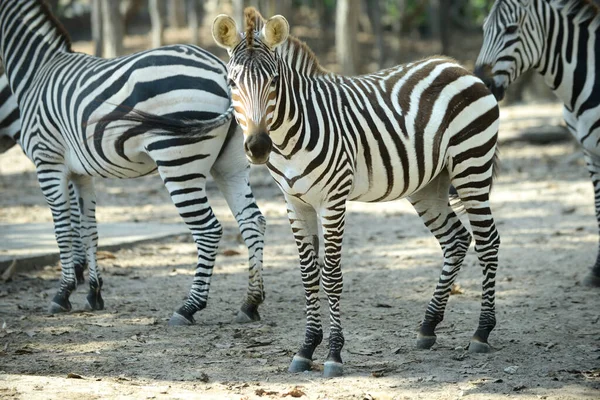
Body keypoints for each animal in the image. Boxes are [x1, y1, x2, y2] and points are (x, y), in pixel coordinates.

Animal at [0, 0, 268, 324]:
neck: (37, 70)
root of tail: (221, 70)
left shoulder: (48, 161)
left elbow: (63, 229)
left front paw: (62, 293)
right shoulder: (80, 172)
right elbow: (88, 227)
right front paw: (93, 292)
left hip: (178, 161)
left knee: (209, 230)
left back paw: (189, 307)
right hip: (231, 164)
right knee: (253, 220)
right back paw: (250, 303)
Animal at [476, 0, 600, 288]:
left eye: (511, 29)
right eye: (484, 29)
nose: (481, 84)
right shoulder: (589, 151)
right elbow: (599, 209)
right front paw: (597, 270)